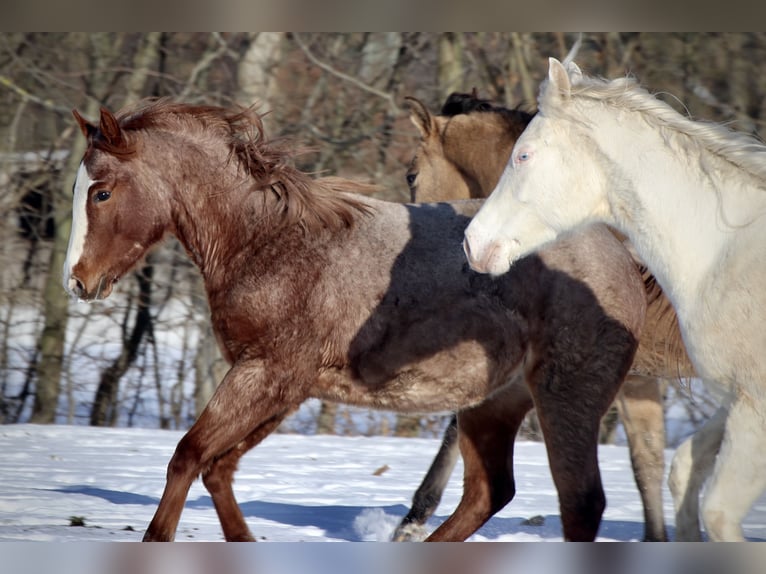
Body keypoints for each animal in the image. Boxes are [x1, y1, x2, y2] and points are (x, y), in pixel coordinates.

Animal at [63, 99, 646, 542]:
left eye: (101, 192)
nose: (77, 282)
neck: (269, 244)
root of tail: (624, 257)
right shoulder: (286, 387)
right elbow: (218, 468)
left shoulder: (264, 373)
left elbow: (188, 457)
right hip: (492, 406)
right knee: (489, 493)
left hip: (565, 397)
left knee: (580, 502)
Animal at [464, 57, 766, 542]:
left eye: (523, 155)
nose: (472, 244)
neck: (726, 251)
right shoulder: (734, 402)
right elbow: (683, 472)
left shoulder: (754, 410)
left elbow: (717, 512)